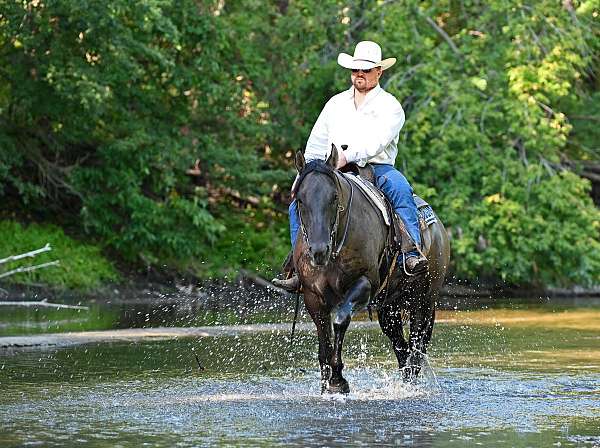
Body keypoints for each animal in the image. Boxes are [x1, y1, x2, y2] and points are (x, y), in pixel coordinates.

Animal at [290, 146, 450, 392]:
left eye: (334, 197)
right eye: (299, 199)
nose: (318, 251)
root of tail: (438, 227)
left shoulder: (365, 284)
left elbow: (340, 319)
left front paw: (338, 380)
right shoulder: (312, 297)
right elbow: (324, 342)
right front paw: (326, 385)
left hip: (422, 300)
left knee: (416, 346)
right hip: (390, 308)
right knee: (402, 348)